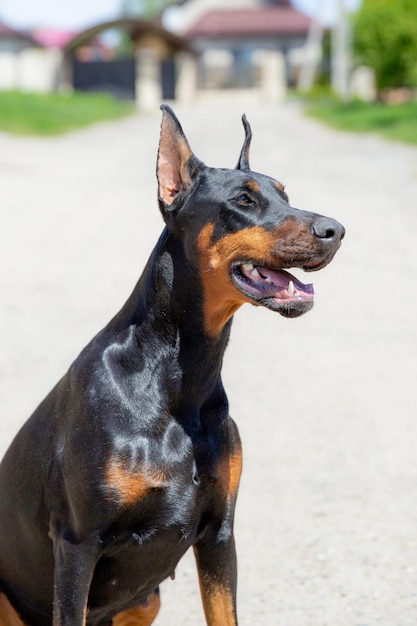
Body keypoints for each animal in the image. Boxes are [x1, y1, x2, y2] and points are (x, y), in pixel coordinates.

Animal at [0, 105, 344, 620]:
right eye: (243, 199)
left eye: (286, 194)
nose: (336, 231)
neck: (179, 375)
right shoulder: (77, 544)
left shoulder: (219, 533)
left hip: (147, 600)